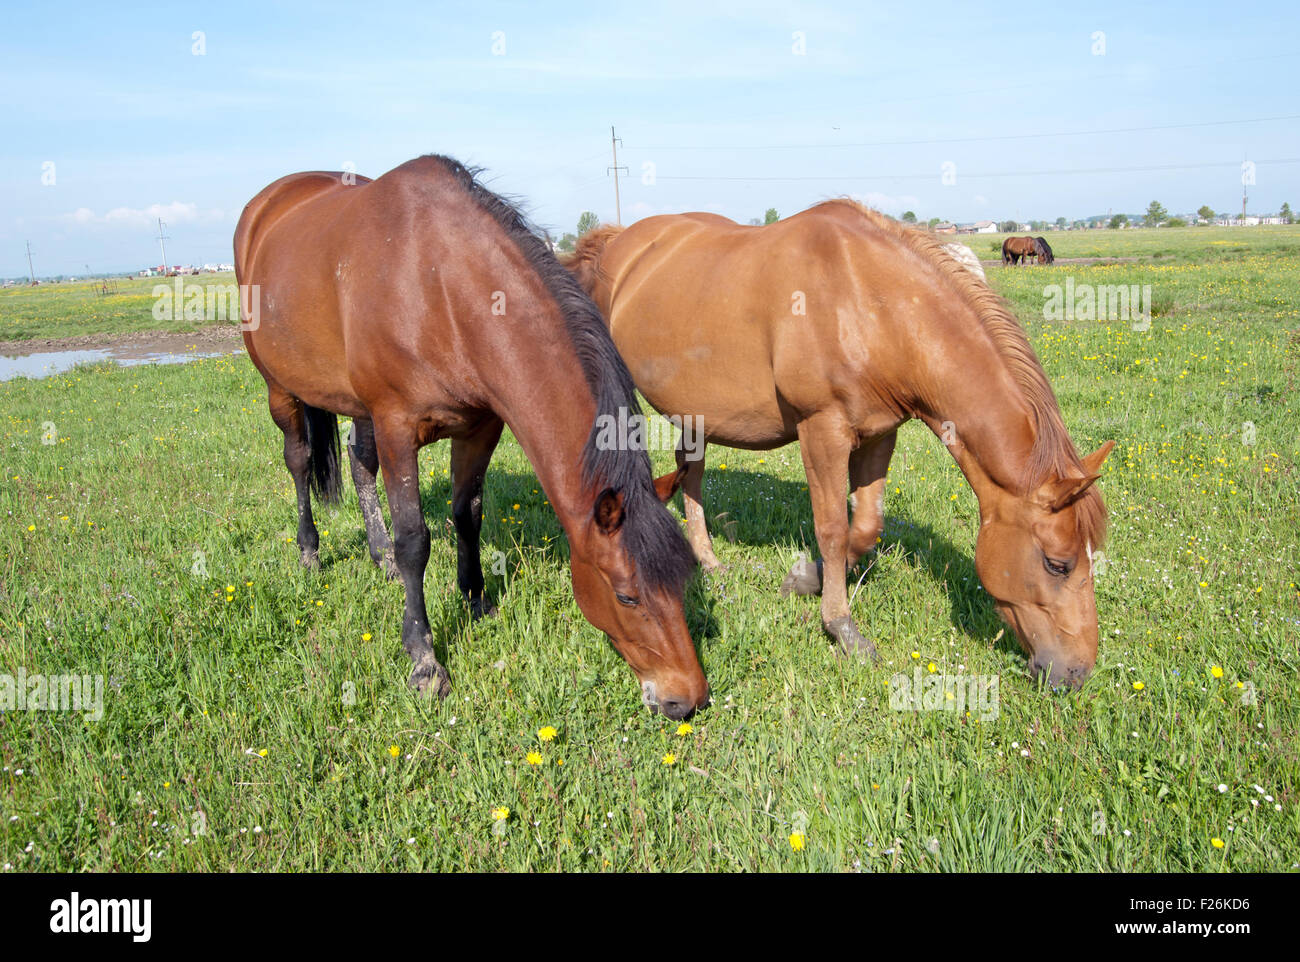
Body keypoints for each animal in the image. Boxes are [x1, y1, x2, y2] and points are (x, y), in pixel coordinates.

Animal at [234, 155, 708, 719]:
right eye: (627, 596)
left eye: (683, 582)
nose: (688, 698)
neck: (439, 285)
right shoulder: (396, 428)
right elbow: (415, 540)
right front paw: (424, 661)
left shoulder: (481, 427)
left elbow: (468, 513)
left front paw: (476, 598)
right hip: (279, 387)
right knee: (301, 459)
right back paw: (310, 551)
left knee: (358, 461)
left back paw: (379, 556)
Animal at [561, 202, 1114, 687]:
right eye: (1058, 564)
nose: (1077, 671)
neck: (870, 301)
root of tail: (618, 242)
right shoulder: (821, 429)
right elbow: (831, 527)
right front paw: (841, 626)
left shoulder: (880, 433)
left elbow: (865, 525)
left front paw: (807, 576)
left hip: (695, 411)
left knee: (690, 471)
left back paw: (709, 559)